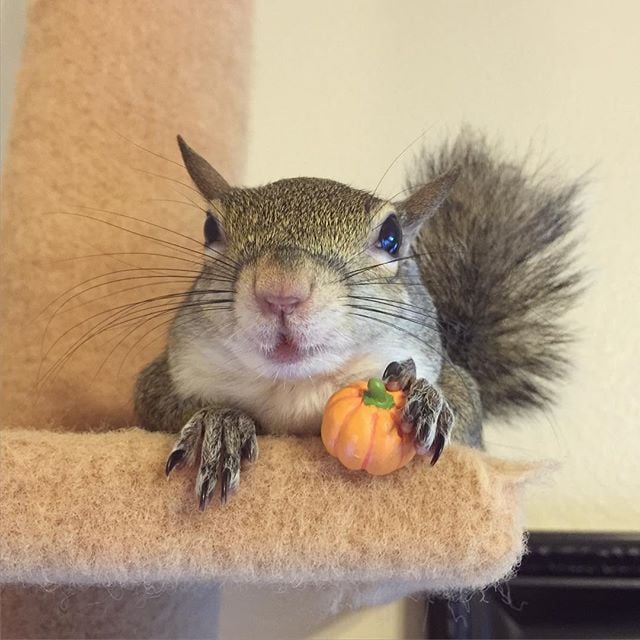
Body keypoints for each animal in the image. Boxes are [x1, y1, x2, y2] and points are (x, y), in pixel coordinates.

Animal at [135, 131, 581, 509]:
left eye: (391, 237)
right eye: (210, 227)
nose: (281, 289)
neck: (294, 387)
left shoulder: (464, 407)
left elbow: (462, 422)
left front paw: (423, 395)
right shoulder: (156, 385)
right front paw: (219, 422)